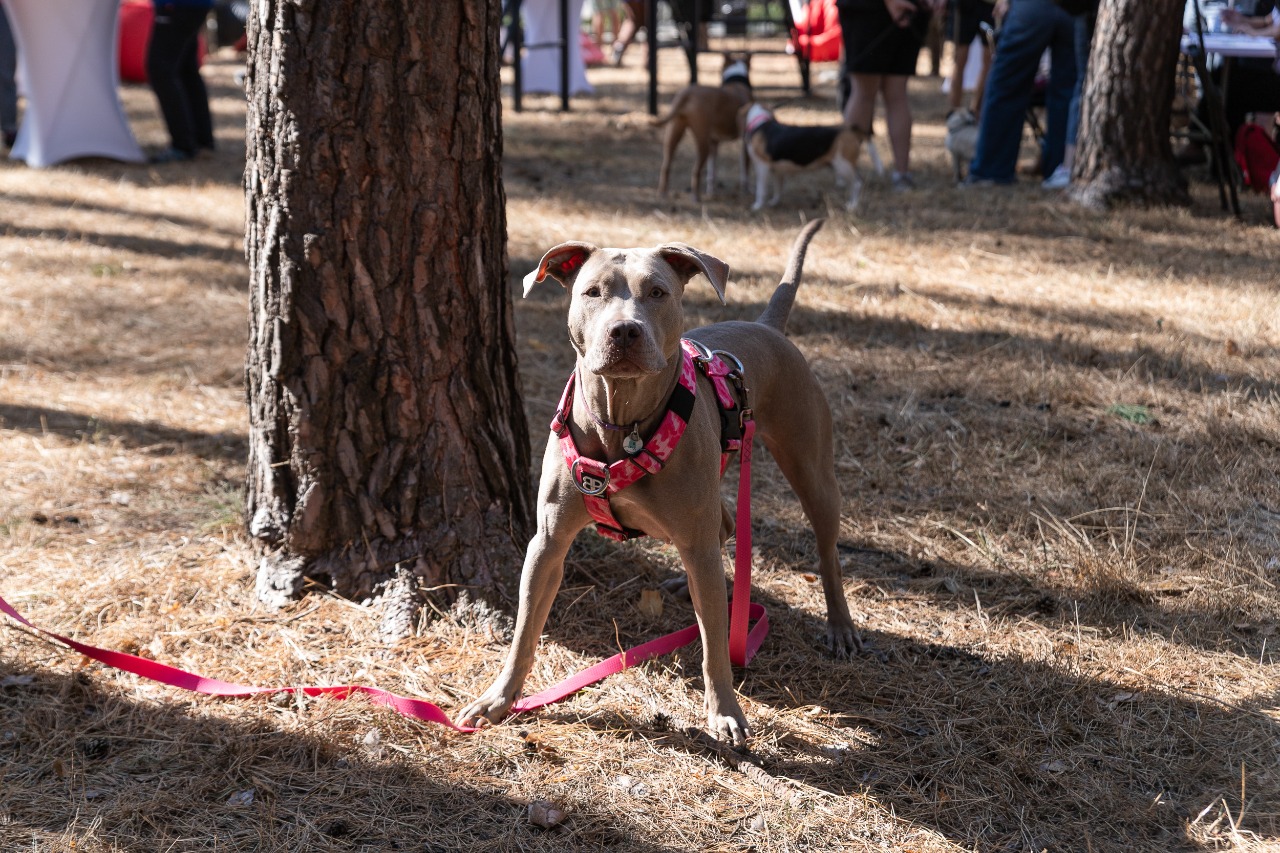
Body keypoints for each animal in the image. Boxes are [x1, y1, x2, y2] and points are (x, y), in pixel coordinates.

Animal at [455, 219, 865, 742]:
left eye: (657, 292)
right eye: (592, 292)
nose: (625, 329)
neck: (621, 420)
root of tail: (765, 326)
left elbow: (716, 646)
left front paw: (725, 712)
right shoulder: (547, 544)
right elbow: (525, 629)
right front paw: (499, 699)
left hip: (810, 470)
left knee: (823, 551)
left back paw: (840, 627)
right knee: (722, 528)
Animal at [660, 56, 747, 202]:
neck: (736, 82)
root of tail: (688, 93)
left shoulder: (714, 143)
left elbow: (712, 172)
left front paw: (711, 192)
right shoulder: (745, 143)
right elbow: (745, 171)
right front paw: (746, 190)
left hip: (673, 135)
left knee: (666, 166)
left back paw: (663, 194)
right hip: (702, 142)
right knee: (695, 171)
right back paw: (696, 197)